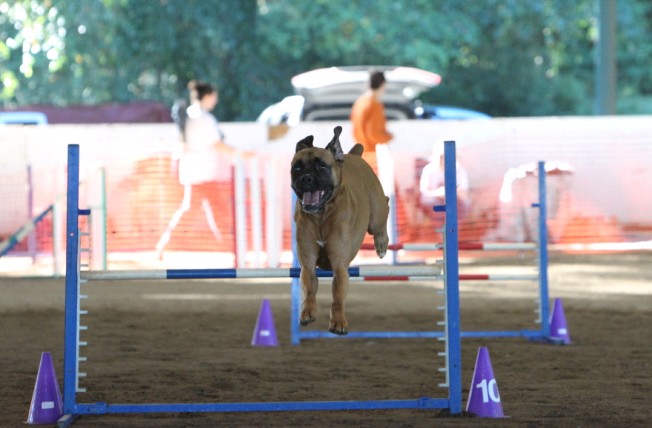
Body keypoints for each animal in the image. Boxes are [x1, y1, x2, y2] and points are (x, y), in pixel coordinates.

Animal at [292, 125, 390, 336]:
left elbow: (337, 298)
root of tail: (353, 155)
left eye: (322, 167)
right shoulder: (308, 265)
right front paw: (307, 312)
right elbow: (309, 289)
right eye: (297, 167)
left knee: (385, 207)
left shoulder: (339, 267)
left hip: (376, 215)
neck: (321, 215)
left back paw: (382, 244)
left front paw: (338, 322)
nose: (305, 178)